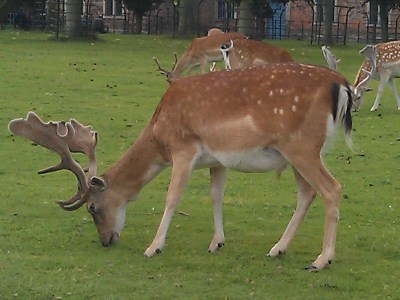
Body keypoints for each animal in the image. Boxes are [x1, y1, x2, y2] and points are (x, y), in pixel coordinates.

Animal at [9, 48, 376, 270]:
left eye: (93, 208)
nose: (106, 241)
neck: (159, 133)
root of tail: (342, 86)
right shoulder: (217, 160)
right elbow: (216, 196)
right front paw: (217, 243)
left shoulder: (183, 149)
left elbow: (172, 197)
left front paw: (153, 246)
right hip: (299, 152)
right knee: (307, 192)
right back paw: (278, 248)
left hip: (302, 147)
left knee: (331, 188)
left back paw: (322, 259)